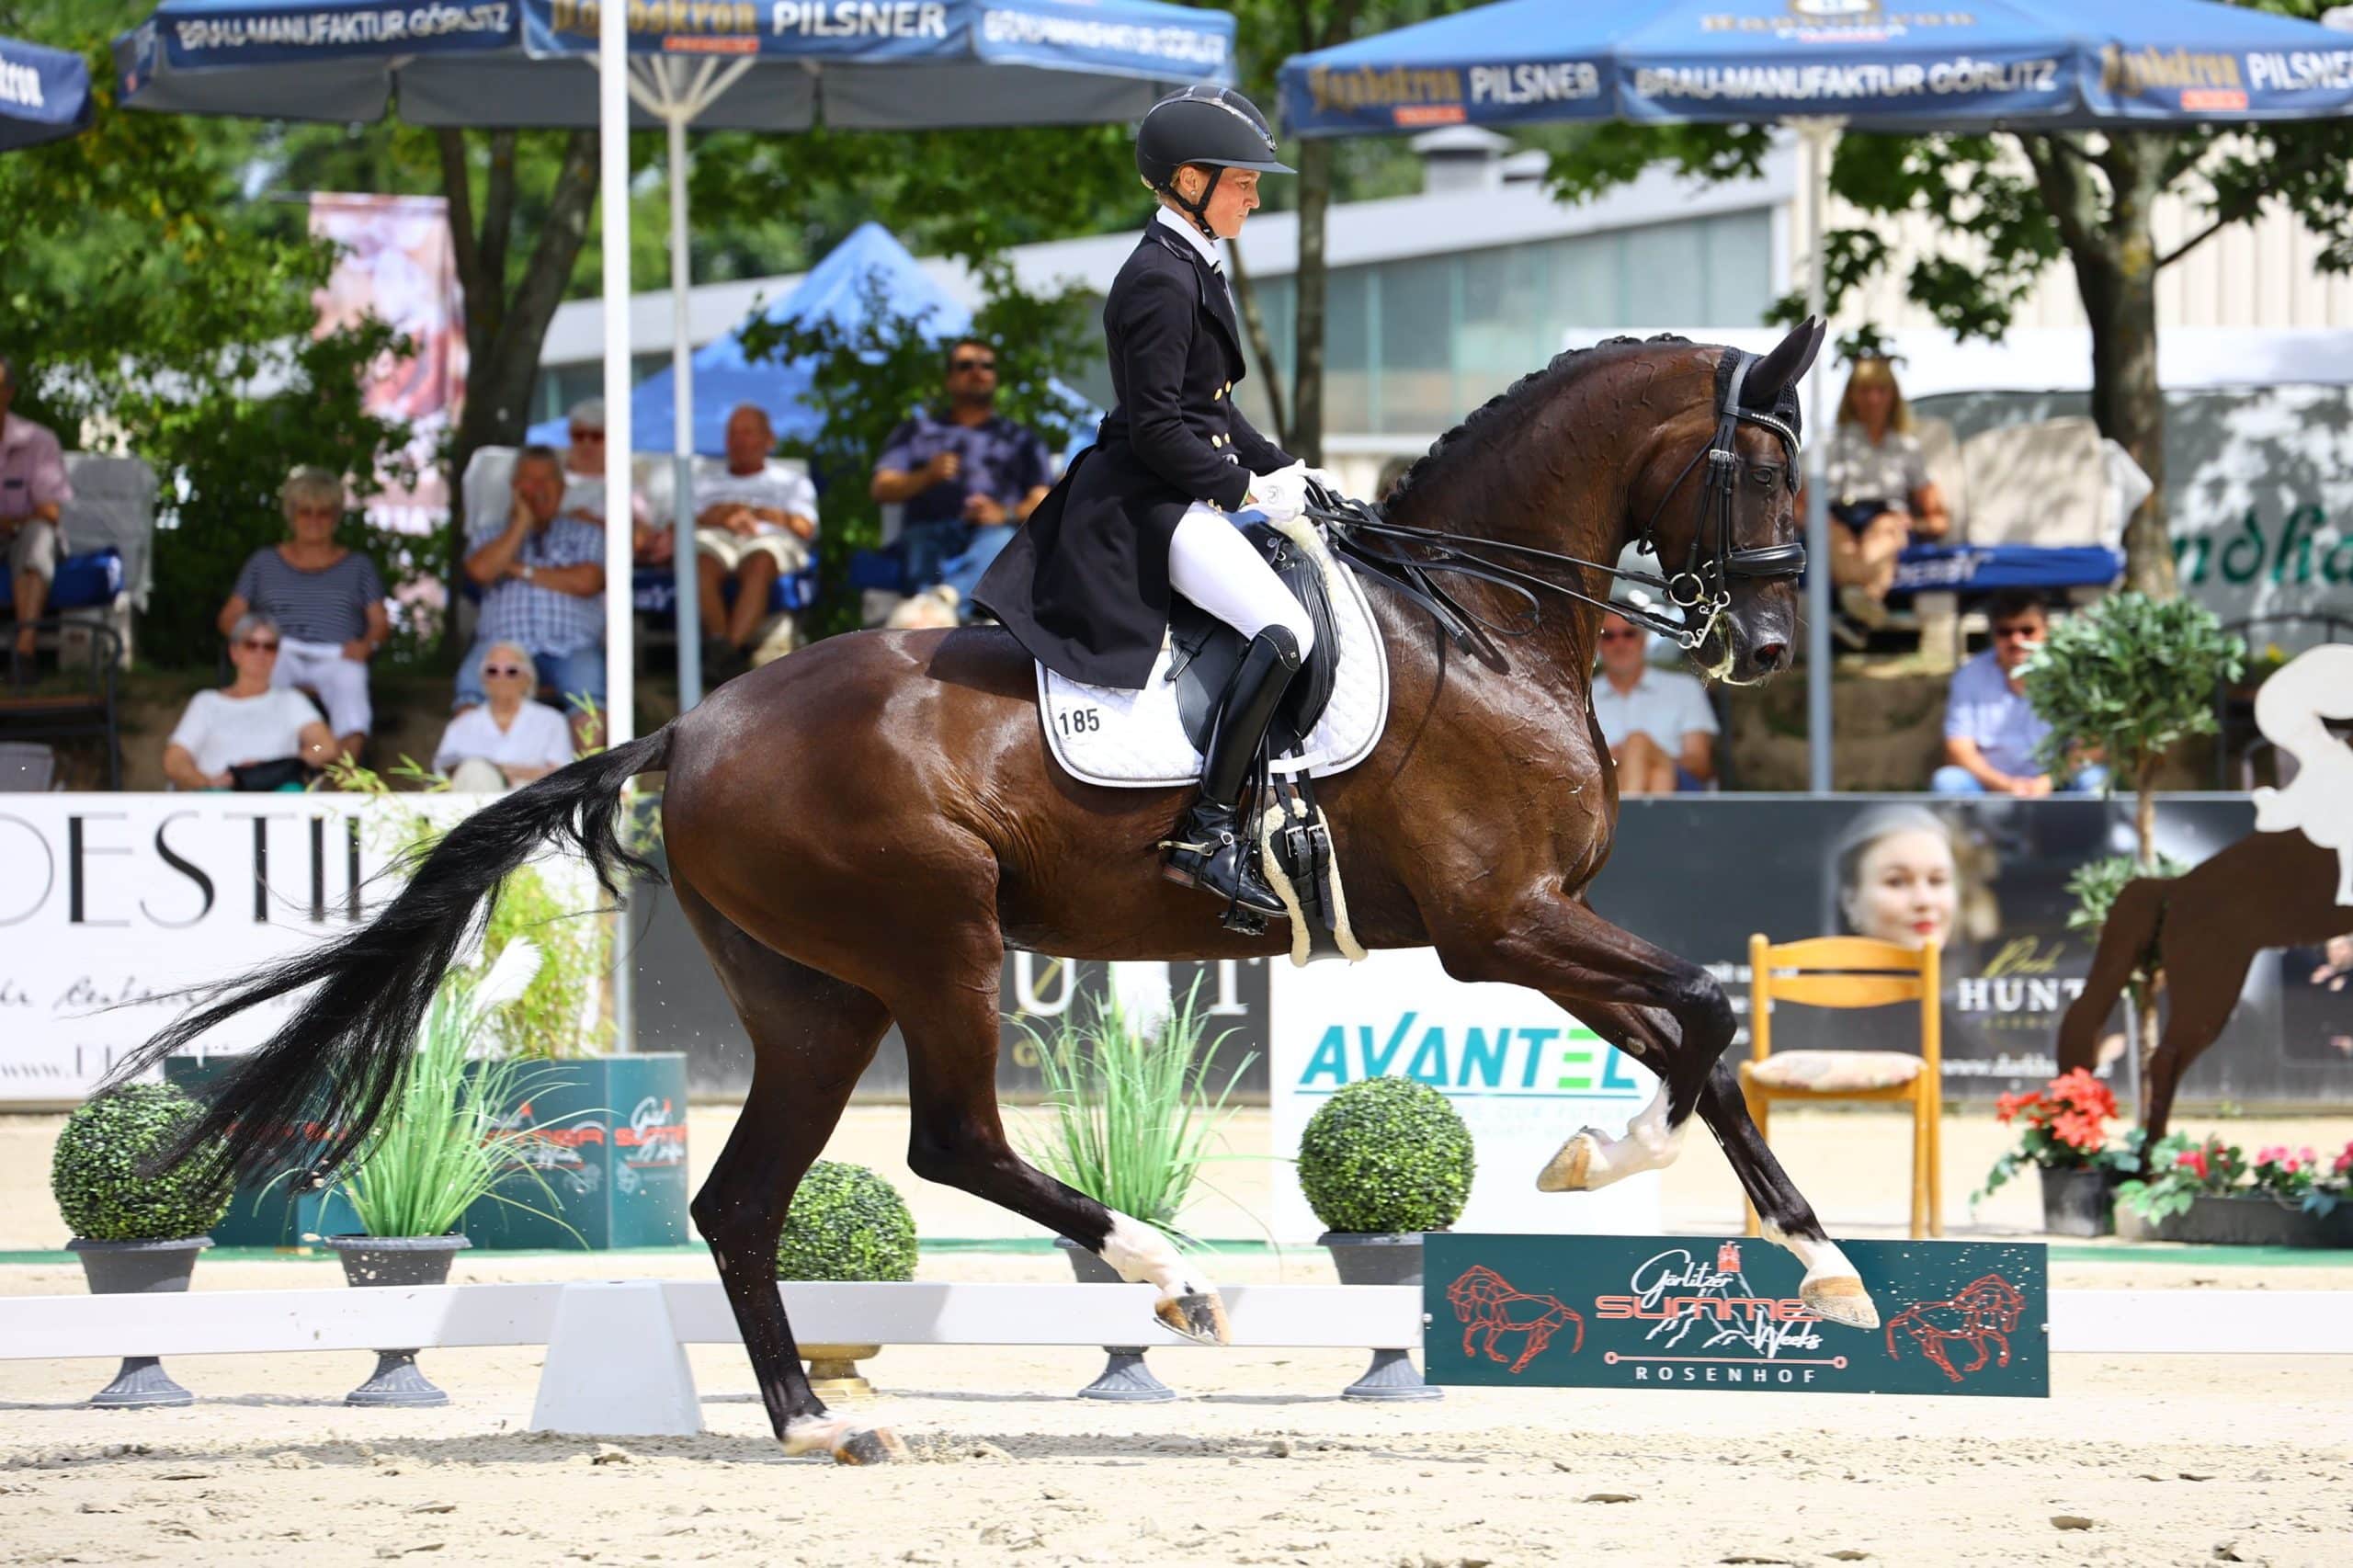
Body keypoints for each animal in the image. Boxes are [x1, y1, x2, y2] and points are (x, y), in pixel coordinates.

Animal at [119, 315, 1872, 1449]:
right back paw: (1170, 1282)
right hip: (938, 939)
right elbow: (1707, 1013)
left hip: (814, 998)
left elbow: (1702, 1040)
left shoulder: (1532, 925)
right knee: (953, 1140)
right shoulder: (1494, 926)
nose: (1770, 644)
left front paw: (1815, 1262)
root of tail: (692, 720)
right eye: (1763, 468)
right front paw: (1609, 1163)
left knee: (741, 1200)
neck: (1481, 620)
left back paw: (812, 1418)